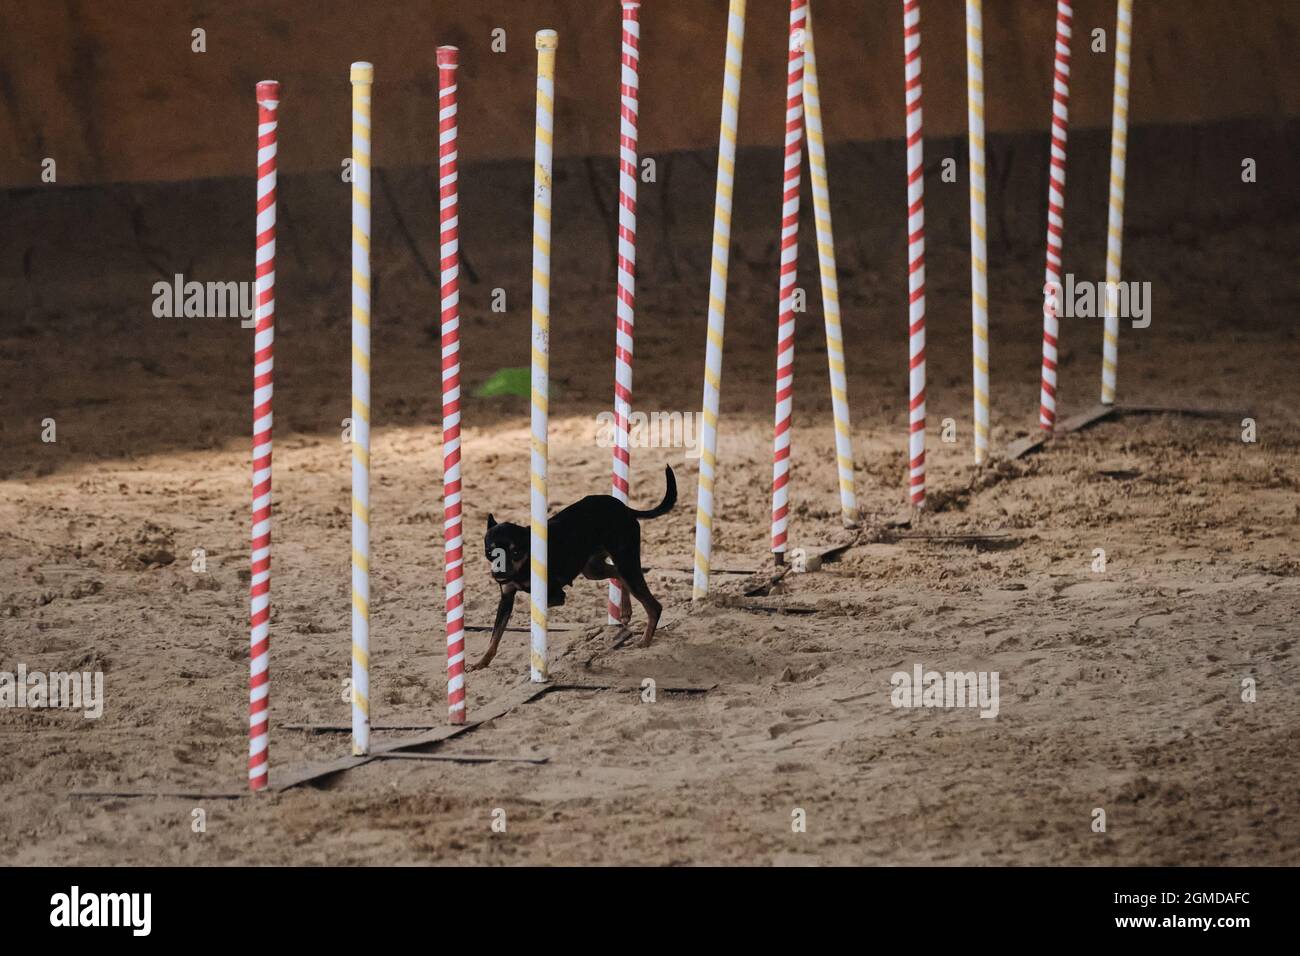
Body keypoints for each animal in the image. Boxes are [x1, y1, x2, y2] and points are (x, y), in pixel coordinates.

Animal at [478, 468, 681, 671]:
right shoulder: (506, 597)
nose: (498, 573)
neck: (525, 562)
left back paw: (644, 641)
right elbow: (495, 636)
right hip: (594, 569)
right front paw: (481, 663)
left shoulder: (556, 595)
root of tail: (624, 508)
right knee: (617, 574)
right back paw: (626, 611)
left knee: (653, 606)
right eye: (489, 552)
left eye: (515, 552)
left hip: (625, 562)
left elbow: (532, 609)